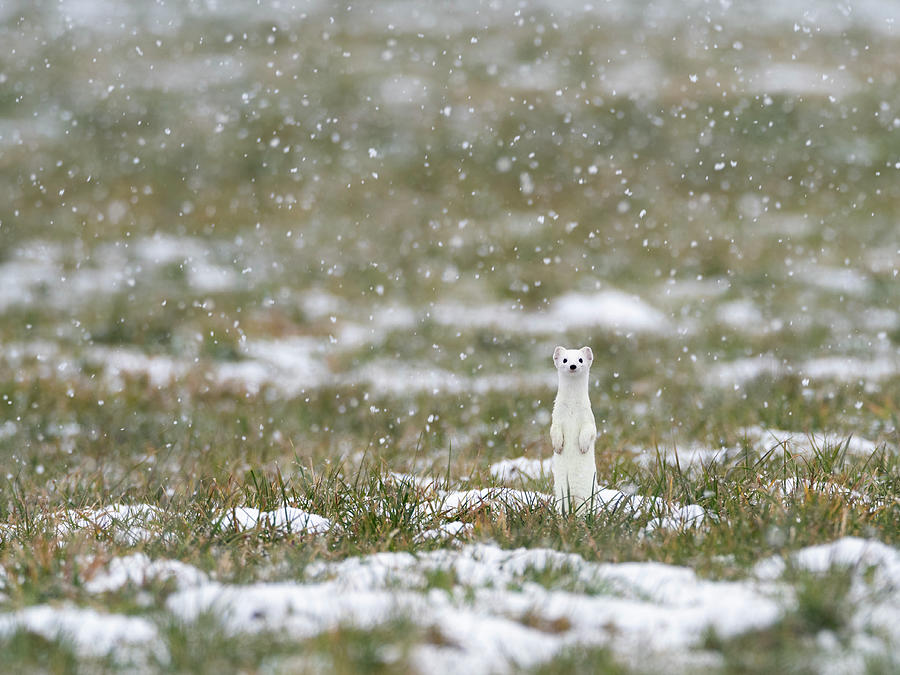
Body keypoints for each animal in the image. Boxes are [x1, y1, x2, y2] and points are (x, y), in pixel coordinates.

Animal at [548, 346, 596, 516]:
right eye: (565, 359)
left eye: (580, 359)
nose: (573, 366)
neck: (572, 409)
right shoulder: (556, 417)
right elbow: (553, 430)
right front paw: (558, 446)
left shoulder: (589, 418)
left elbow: (590, 431)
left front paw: (583, 446)